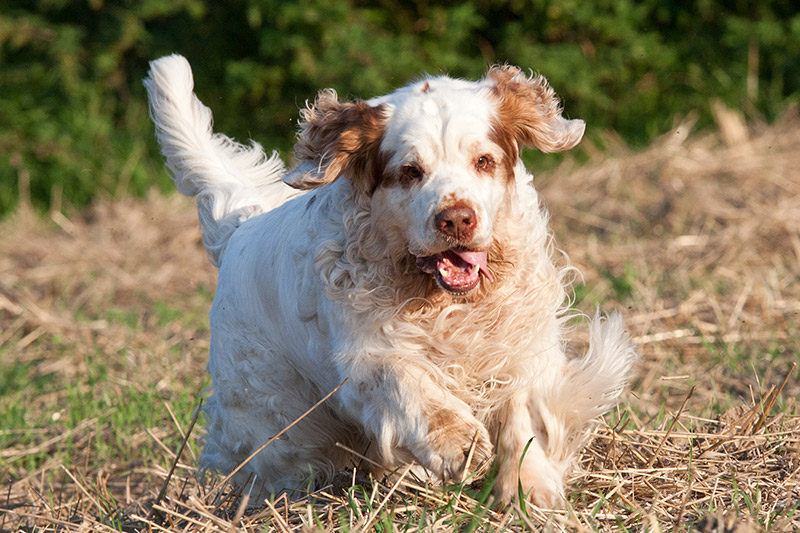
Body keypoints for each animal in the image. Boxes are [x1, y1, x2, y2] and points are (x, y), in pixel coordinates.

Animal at [144, 55, 636, 508]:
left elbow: (525, 417)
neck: (446, 303)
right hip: (275, 418)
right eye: (410, 172)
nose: (456, 218)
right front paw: (457, 444)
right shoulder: (362, 358)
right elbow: (406, 382)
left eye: (483, 161)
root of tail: (239, 228)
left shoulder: (521, 347)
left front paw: (529, 492)